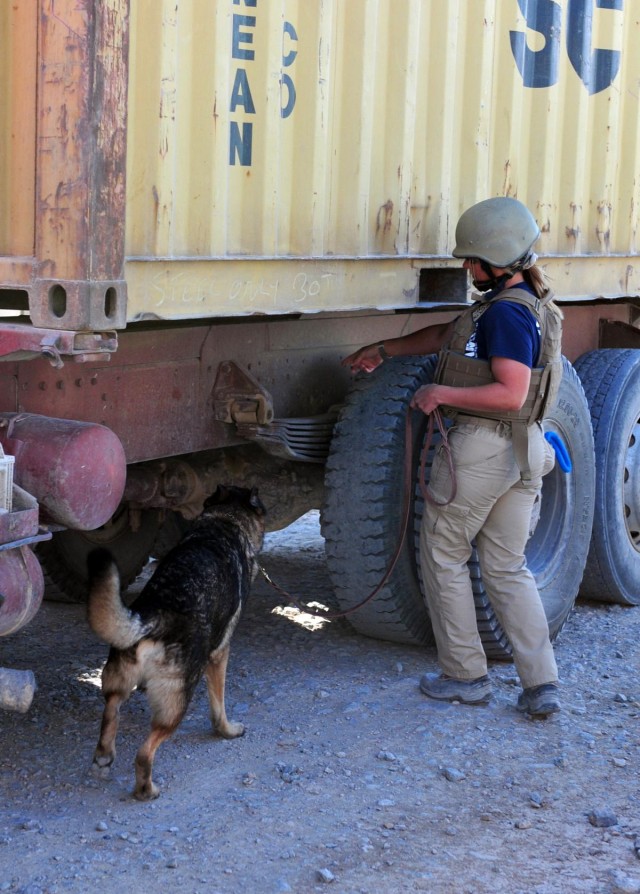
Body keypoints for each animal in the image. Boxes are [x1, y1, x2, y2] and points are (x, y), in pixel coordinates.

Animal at [85, 486, 264, 800]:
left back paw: (104, 755)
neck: (224, 521)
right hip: (178, 698)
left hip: (119, 676)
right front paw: (226, 730)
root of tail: (156, 615)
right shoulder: (219, 654)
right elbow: (219, 704)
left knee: (111, 708)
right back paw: (146, 789)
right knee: (145, 752)